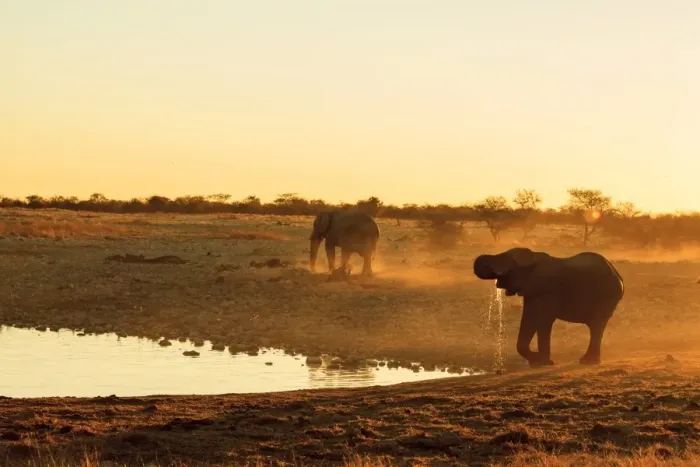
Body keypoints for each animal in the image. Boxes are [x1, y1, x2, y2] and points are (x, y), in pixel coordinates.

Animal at [473, 247, 624, 367]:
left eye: (510, 264)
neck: (534, 258)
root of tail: (618, 274)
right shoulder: (533, 292)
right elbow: (528, 320)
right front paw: (536, 362)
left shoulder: (547, 290)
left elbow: (543, 320)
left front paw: (544, 362)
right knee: (596, 327)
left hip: (606, 296)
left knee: (597, 326)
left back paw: (588, 362)